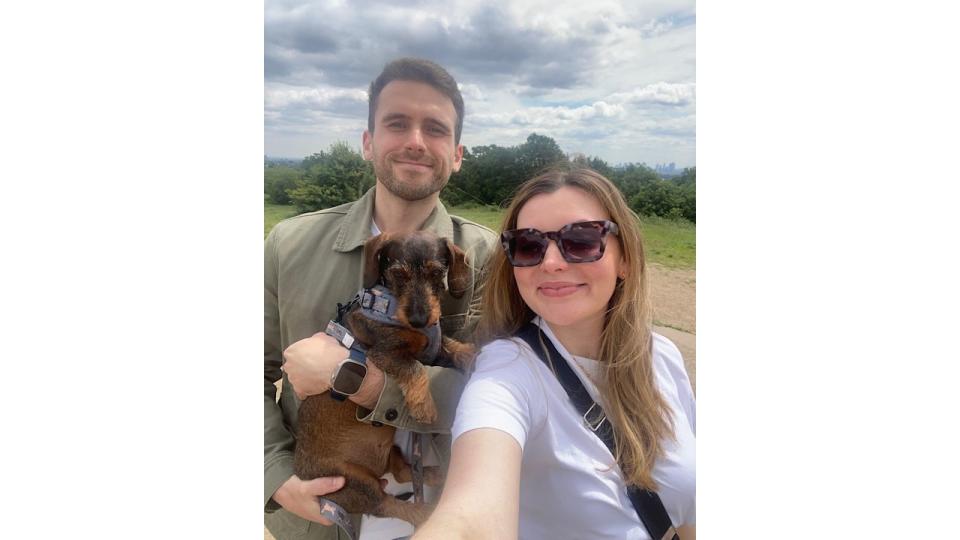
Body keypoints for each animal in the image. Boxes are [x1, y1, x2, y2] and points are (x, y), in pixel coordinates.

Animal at [290, 231, 474, 528]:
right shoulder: (383, 353)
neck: (389, 305)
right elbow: (414, 368)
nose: (420, 320)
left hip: (391, 452)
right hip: (352, 482)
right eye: (398, 273)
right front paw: (423, 405)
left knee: (402, 472)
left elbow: (449, 343)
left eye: (437, 272)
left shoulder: (431, 346)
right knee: (389, 505)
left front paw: (470, 353)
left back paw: (433, 474)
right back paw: (427, 512)